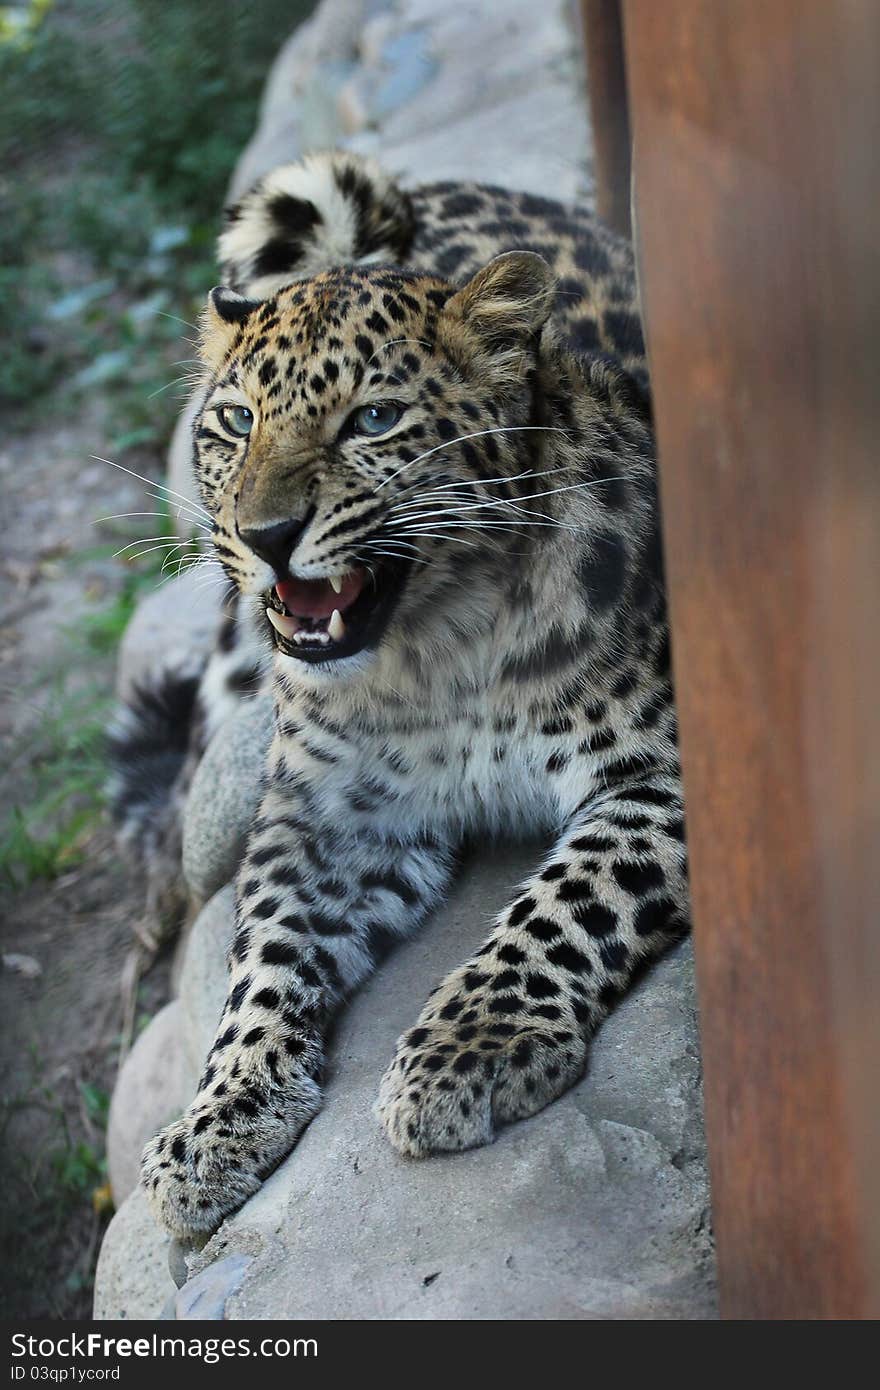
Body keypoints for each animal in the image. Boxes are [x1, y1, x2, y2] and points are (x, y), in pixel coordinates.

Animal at [127, 152, 686, 1239]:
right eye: (236, 422)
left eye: (373, 421)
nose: (264, 536)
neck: (437, 652)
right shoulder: (325, 815)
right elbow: (260, 958)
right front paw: (218, 1119)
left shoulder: (666, 769)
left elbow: (562, 904)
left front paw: (467, 1050)